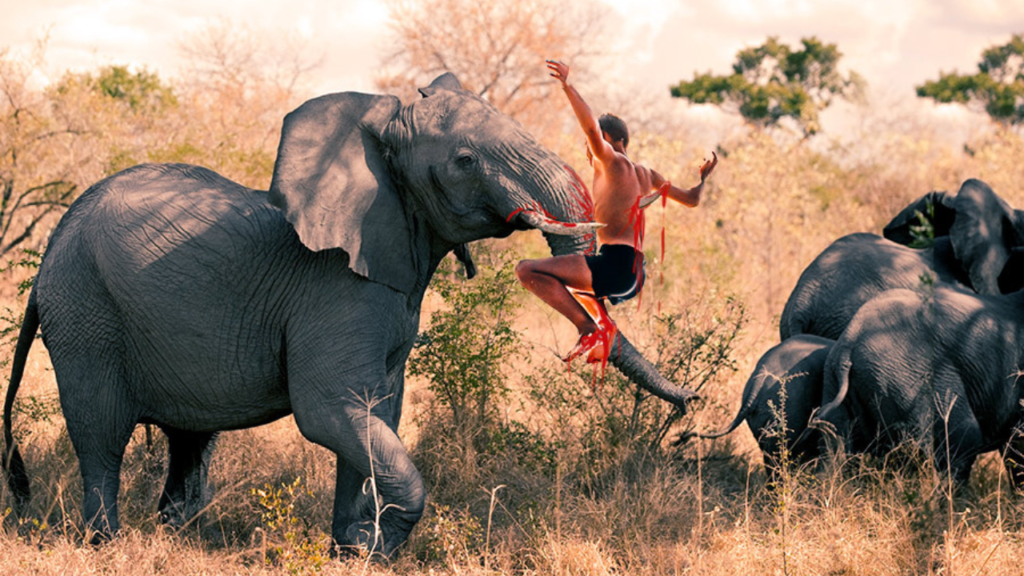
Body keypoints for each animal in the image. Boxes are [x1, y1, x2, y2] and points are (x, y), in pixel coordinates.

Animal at [0, 73, 698, 556]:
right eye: (465, 161)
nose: (691, 407)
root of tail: (53, 243)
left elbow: (377, 413)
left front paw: (349, 551)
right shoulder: (334, 290)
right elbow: (332, 410)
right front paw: (376, 550)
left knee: (189, 440)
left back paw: (172, 537)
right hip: (84, 311)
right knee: (101, 432)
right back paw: (106, 544)